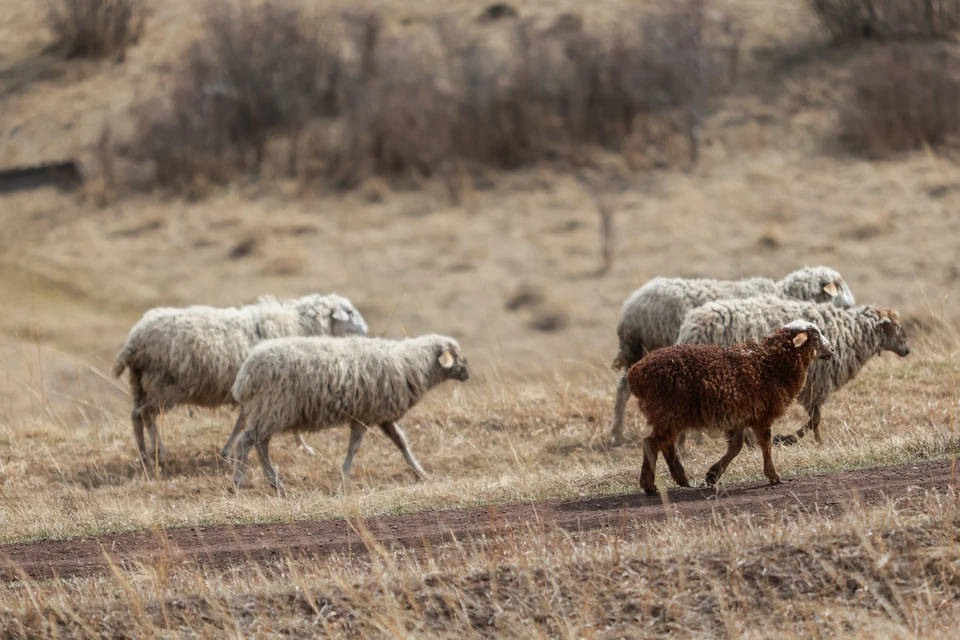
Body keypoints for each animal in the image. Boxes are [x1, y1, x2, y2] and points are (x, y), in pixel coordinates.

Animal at [110, 292, 370, 462]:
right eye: (349, 312)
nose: (366, 331)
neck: (301, 325)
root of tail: (135, 339)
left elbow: (241, 421)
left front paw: (227, 450)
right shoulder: (283, 388)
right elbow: (250, 421)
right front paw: (304, 446)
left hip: (139, 383)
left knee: (136, 416)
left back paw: (144, 455)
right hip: (165, 385)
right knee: (146, 415)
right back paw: (159, 453)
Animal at [222, 332, 468, 492]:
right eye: (456, 356)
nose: (467, 374)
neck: (410, 364)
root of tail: (247, 372)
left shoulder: (379, 415)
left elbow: (401, 442)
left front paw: (420, 472)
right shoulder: (366, 416)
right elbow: (354, 447)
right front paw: (344, 477)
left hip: (268, 412)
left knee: (260, 445)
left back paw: (275, 483)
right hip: (274, 408)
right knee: (246, 442)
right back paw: (238, 482)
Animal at [608, 264, 856, 444]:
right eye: (839, 285)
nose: (852, 304)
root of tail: (632, 307)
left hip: (640, 355)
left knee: (623, 388)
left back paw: (616, 436)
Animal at [628, 320, 828, 496]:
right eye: (816, 337)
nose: (831, 350)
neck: (771, 363)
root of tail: (635, 372)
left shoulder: (739, 415)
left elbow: (736, 447)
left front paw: (713, 475)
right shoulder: (762, 415)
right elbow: (766, 444)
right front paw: (773, 476)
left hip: (671, 416)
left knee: (665, 444)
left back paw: (681, 479)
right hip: (668, 412)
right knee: (651, 443)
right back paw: (649, 485)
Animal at [672, 294, 912, 444]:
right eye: (896, 326)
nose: (908, 349)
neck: (851, 332)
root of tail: (691, 329)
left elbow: (814, 420)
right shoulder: (817, 385)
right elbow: (815, 420)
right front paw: (809, 442)